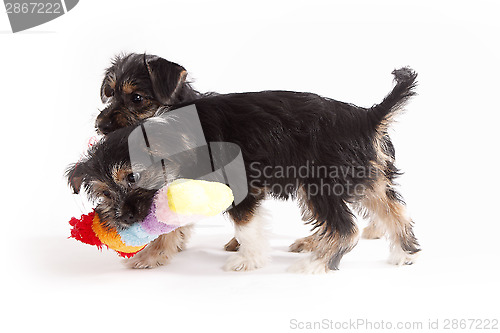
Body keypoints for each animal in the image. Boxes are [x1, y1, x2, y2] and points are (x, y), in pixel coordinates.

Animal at [67, 67, 418, 272]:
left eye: (133, 178)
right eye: (104, 193)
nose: (124, 218)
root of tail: (366, 117)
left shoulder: (239, 184)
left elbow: (246, 225)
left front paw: (248, 260)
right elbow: (174, 224)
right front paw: (155, 254)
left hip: (321, 181)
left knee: (346, 228)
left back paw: (313, 264)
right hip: (363, 176)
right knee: (392, 209)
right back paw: (404, 254)